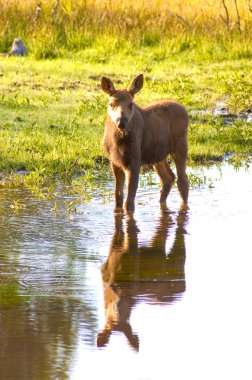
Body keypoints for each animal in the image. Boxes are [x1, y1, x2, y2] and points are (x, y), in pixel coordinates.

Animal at [101, 73, 188, 211]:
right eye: (111, 104)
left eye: (131, 104)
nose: (121, 122)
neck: (117, 144)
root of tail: (184, 109)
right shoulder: (114, 161)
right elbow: (118, 197)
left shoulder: (134, 160)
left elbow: (129, 202)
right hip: (158, 155)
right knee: (168, 178)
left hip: (180, 146)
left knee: (182, 180)